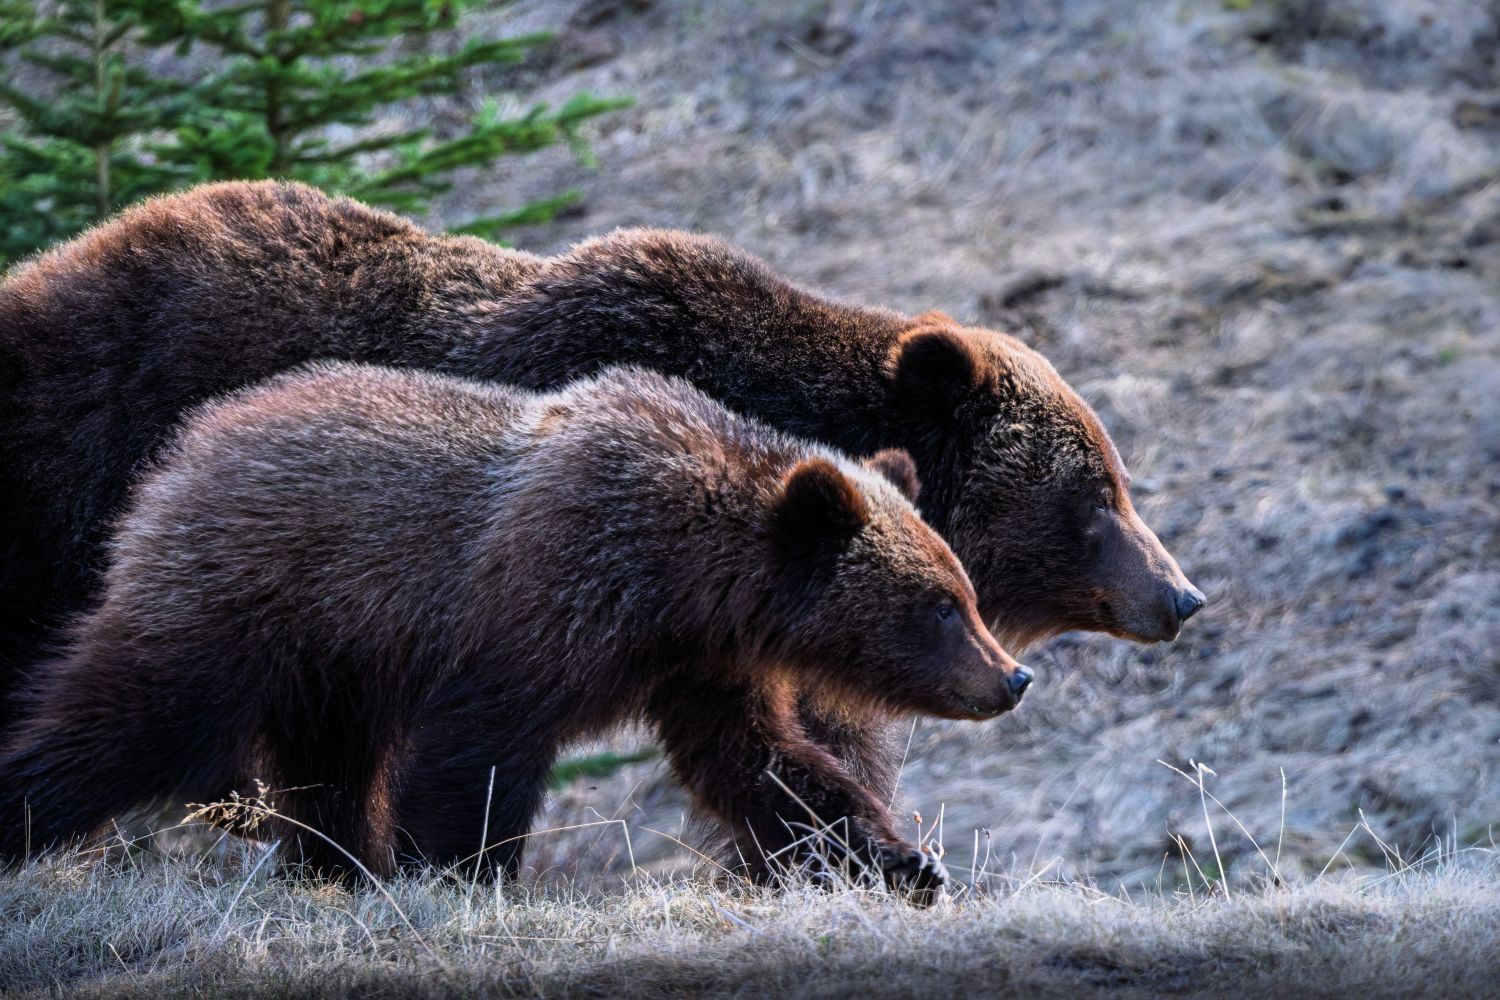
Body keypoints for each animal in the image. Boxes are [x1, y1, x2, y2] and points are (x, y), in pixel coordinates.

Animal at [0, 363, 1032, 901]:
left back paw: (339, 866)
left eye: (966, 592)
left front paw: (904, 859)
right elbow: (481, 746)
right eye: (943, 605)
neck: (684, 577)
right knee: (128, 715)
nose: (1012, 678)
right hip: (241, 598)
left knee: (332, 767)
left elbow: (766, 763)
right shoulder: (544, 598)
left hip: (333, 658)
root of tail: (184, 448)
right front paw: (462, 873)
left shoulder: (698, 665)